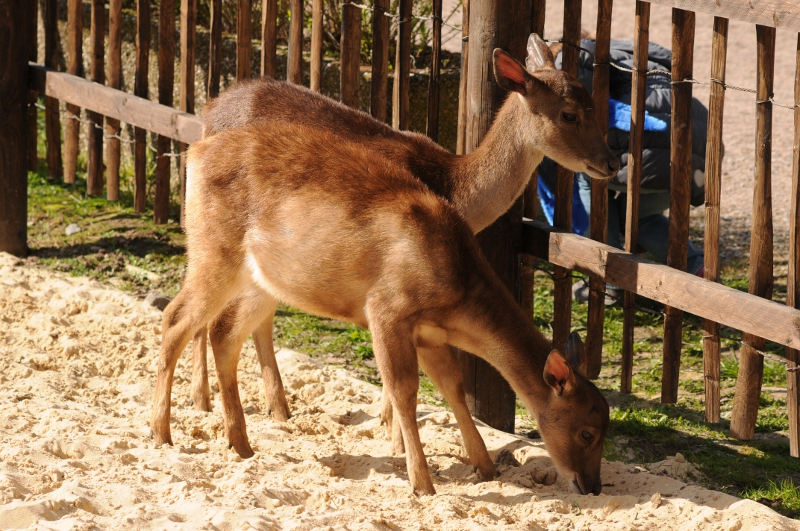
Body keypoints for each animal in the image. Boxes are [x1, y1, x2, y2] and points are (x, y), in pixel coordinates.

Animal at [183, 34, 618, 488]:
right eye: (569, 114)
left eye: (594, 103)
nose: (612, 161)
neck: (455, 189)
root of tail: (208, 112)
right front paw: (395, 442)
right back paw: (202, 401)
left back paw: (277, 408)